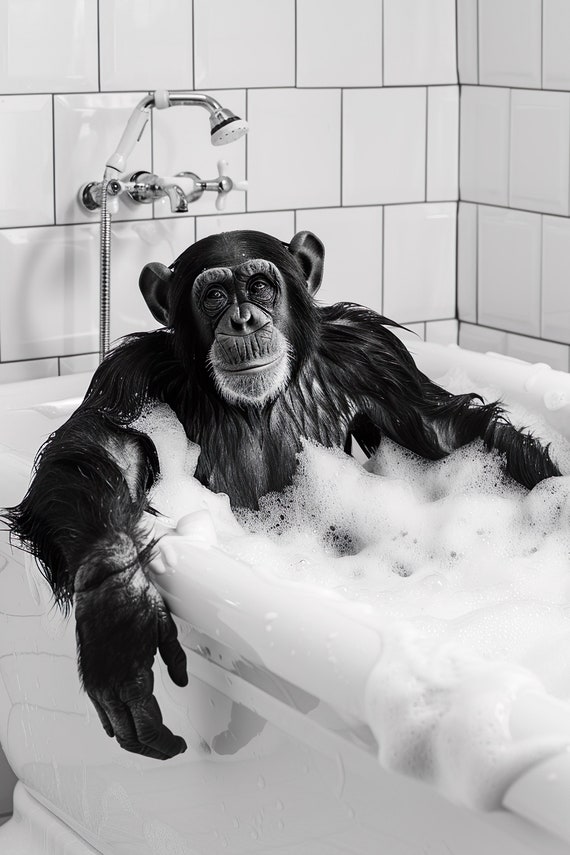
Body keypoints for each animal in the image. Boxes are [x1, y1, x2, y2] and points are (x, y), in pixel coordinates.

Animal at [4, 229, 561, 759]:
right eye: (214, 295)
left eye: (258, 287)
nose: (243, 320)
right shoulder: (132, 374)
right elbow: (105, 448)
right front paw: (116, 610)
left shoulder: (375, 354)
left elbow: (448, 433)